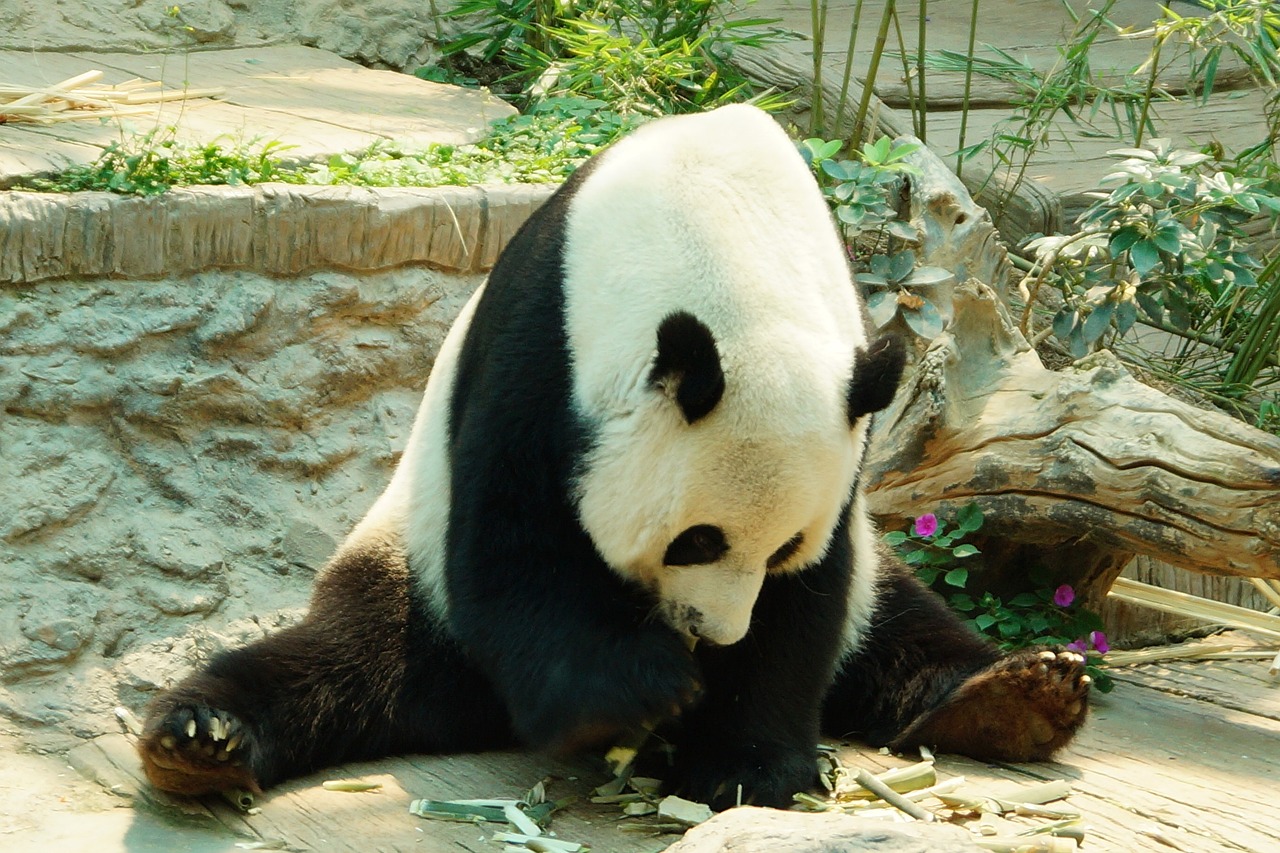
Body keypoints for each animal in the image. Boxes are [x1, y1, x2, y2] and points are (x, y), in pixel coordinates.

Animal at [137, 104, 1090, 810]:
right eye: (696, 540)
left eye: (779, 546)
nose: (714, 633)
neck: (722, 235)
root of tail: (469, 711)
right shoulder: (540, 347)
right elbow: (515, 545)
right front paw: (639, 691)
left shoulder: (845, 415)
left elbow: (812, 596)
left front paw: (742, 761)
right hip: (405, 559)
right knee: (346, 657)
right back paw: (201, 739)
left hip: (887, 593)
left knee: (897, 621)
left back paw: (1018, 696)